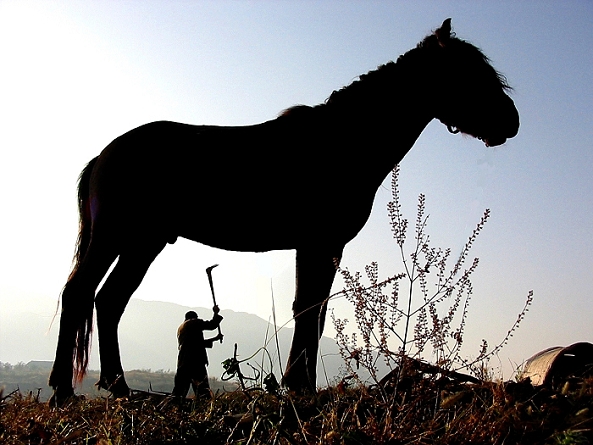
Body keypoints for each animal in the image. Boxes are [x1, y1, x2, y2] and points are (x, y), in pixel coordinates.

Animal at [48, 19, 516, 402]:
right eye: (467, 71)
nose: (511, 122)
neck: (344, 141)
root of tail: (105, 154)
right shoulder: (317, 243)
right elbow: (306, 309)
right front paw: (299, 386)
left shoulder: (326, 247)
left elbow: (316, 311)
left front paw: (301, 384)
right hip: (115, 236)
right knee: (79, 294)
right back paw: (64, 391)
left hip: (143, 243)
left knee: (109, 301)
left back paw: (119, 387)